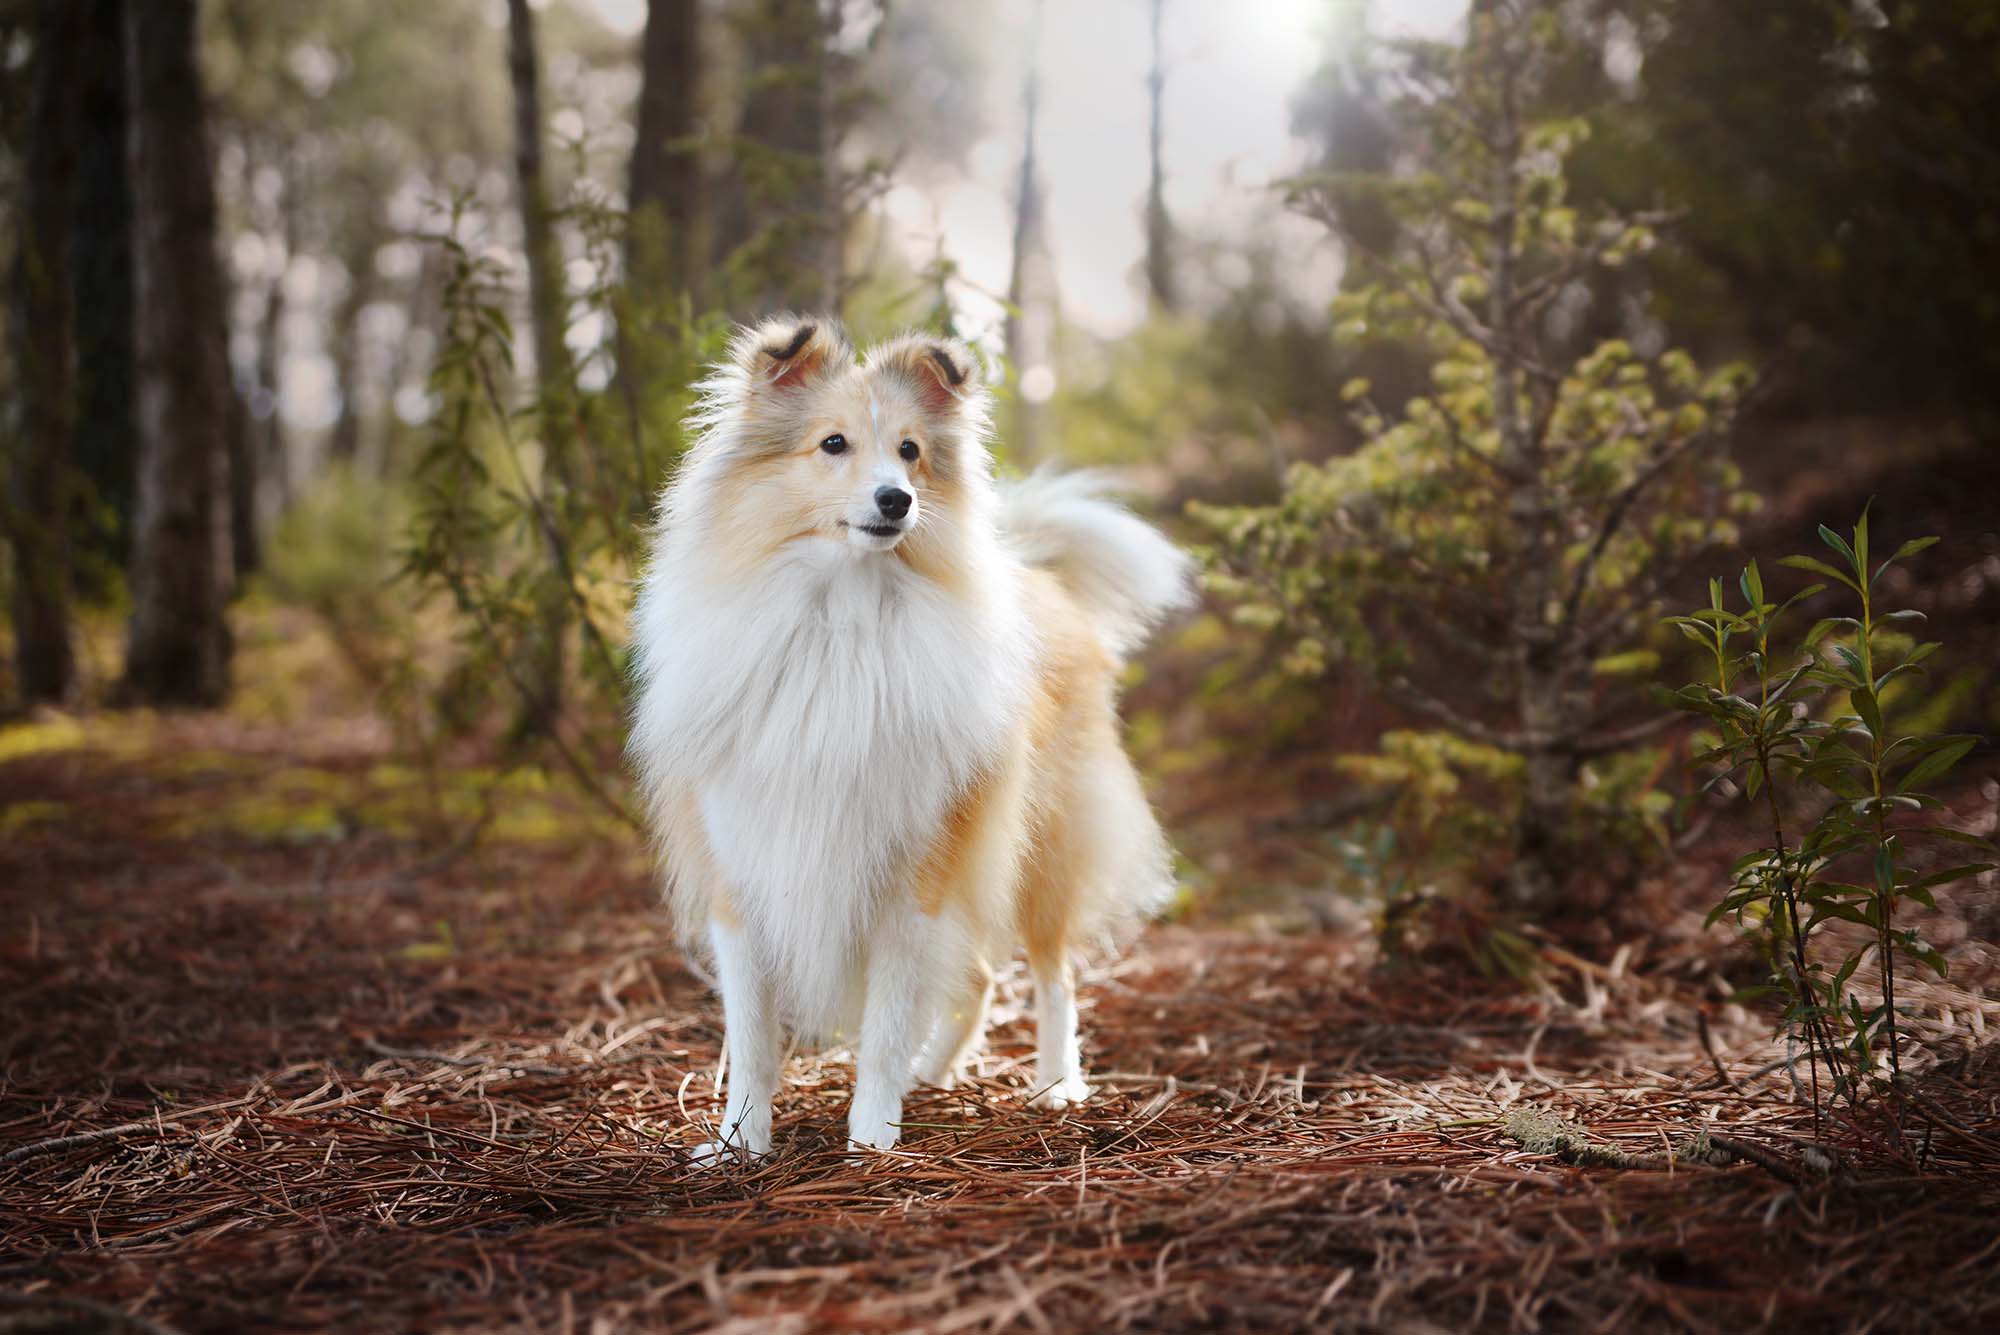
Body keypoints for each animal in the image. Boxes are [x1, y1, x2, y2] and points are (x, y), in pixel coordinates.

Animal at [624, 315, 1184, 1159]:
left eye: (912, 449)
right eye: (833, 443)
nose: (898, 499)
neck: (839, 624)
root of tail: (1037, 575)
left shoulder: (913, 871)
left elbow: (885, 1021)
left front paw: (872, 1139)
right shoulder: (744, 870)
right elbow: (751, 1033)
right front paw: (740, 1143)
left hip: (1042, 848)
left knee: (1051, 974)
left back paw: (1055, 1085)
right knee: (980, 975)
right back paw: (934, 1072)